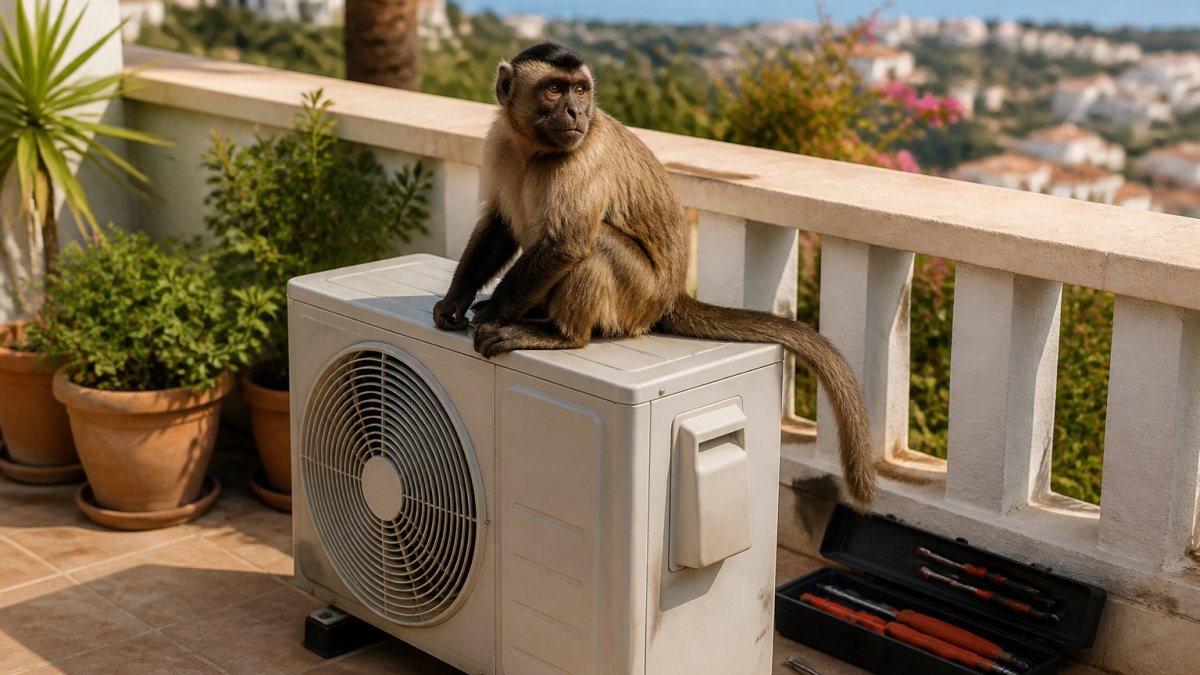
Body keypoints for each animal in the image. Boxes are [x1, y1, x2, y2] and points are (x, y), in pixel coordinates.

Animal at [432, 42, 875, 510]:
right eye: (554, 89)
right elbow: (498, 223)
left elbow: (567, 243)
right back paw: (536, 314)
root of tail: (671, 296)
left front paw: (493, 316)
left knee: (596, 244)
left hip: (637, 298)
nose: (576, 112)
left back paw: (561, 335)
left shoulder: (580, 156)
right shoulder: (500, 142)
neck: (532, 150)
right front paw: (457, 299)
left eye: (580, 90)